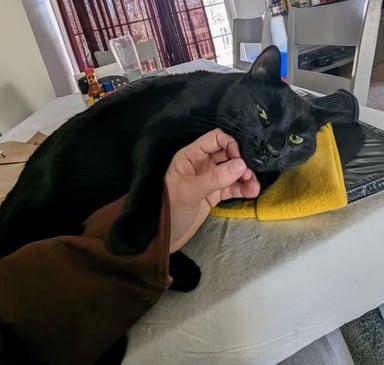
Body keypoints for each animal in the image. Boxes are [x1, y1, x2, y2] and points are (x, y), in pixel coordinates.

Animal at [0, 45, 340, 272]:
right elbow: (150, 179)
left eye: (296, 139)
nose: (272, 148)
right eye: (263, 113)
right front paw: (131, 231)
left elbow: (262, 180)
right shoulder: (162, 130)